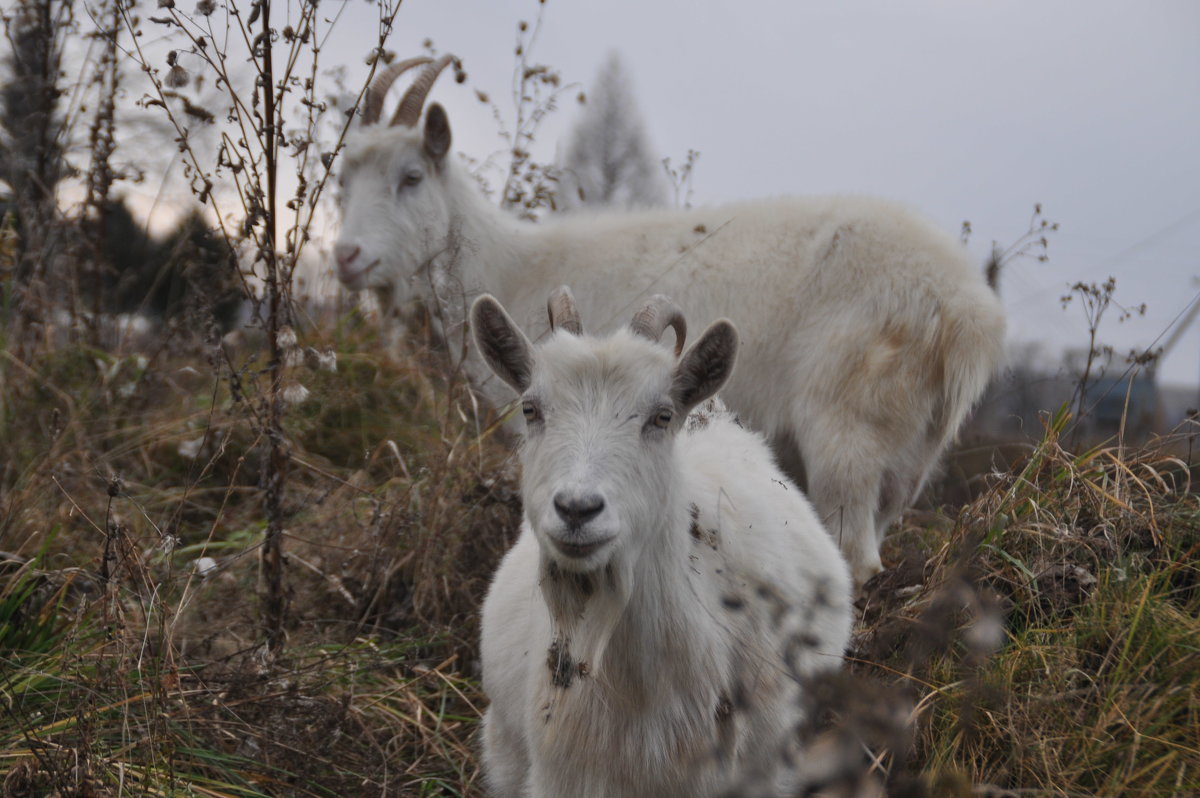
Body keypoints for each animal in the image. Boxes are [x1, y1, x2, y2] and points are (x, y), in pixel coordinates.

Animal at [333, 54, 1008, 578]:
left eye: (411, 177)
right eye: (340, 181)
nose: (345, 256)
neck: (508, 262)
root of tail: (966, 312)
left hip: (848, 428)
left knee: (852, 553)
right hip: (910, 450)